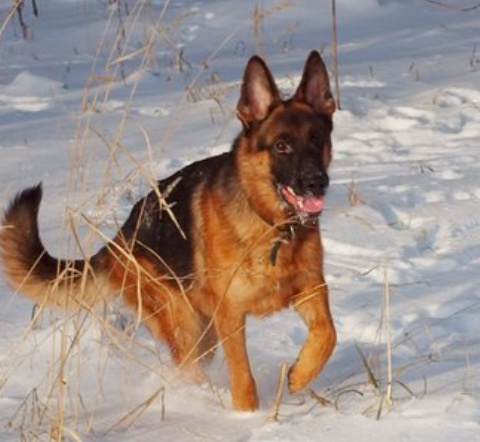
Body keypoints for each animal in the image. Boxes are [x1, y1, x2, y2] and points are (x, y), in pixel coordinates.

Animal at [0, 51, 336, 411]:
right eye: (281, 146)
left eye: (317, 140)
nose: (317, 182)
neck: (272, 225)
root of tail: (117, 241)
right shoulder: (230, 316)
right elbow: (243, 378)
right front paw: (247, 416)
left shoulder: (312, 288)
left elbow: (328, 335)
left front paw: (300, 374)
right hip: (185, 324)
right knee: (188, 367)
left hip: (202, 331)